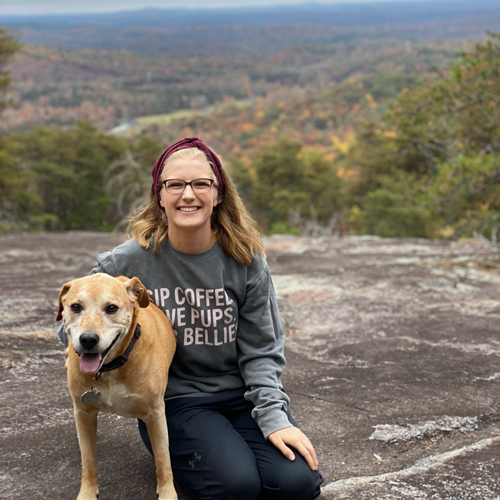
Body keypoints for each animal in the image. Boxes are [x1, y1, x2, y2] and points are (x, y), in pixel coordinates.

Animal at [57, 274, 179, 500]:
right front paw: (87, 492)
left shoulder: (156, 414)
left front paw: (167, 493)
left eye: (111, 308)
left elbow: (163, 459)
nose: (88, 340)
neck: (109, 368)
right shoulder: (83, 413)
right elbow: (88, 460)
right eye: (76, 307)